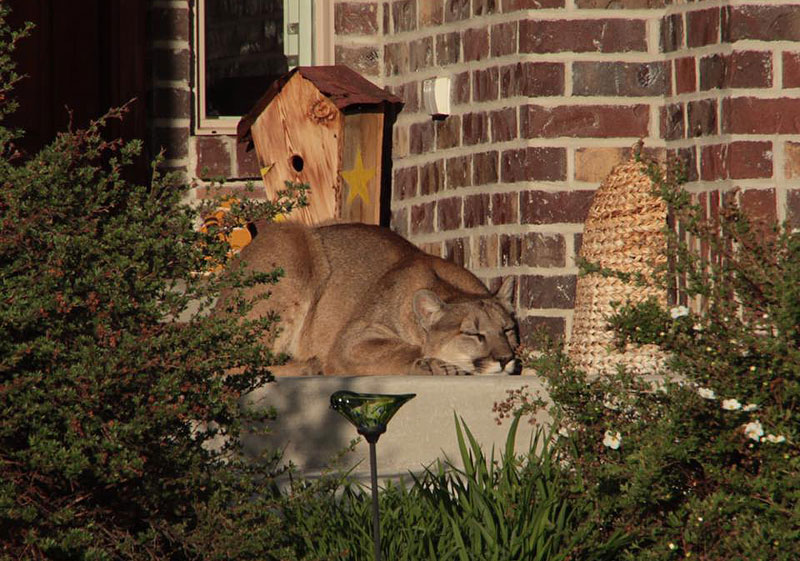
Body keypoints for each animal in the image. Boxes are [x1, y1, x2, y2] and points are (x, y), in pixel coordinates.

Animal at [222, 221, 520, 374]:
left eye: (507, 329)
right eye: (473, 334)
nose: (505, 359)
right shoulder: (349, 343)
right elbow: (408, 348)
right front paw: (438, 364)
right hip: (291, 243)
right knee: (232, 366)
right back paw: (310, 367)